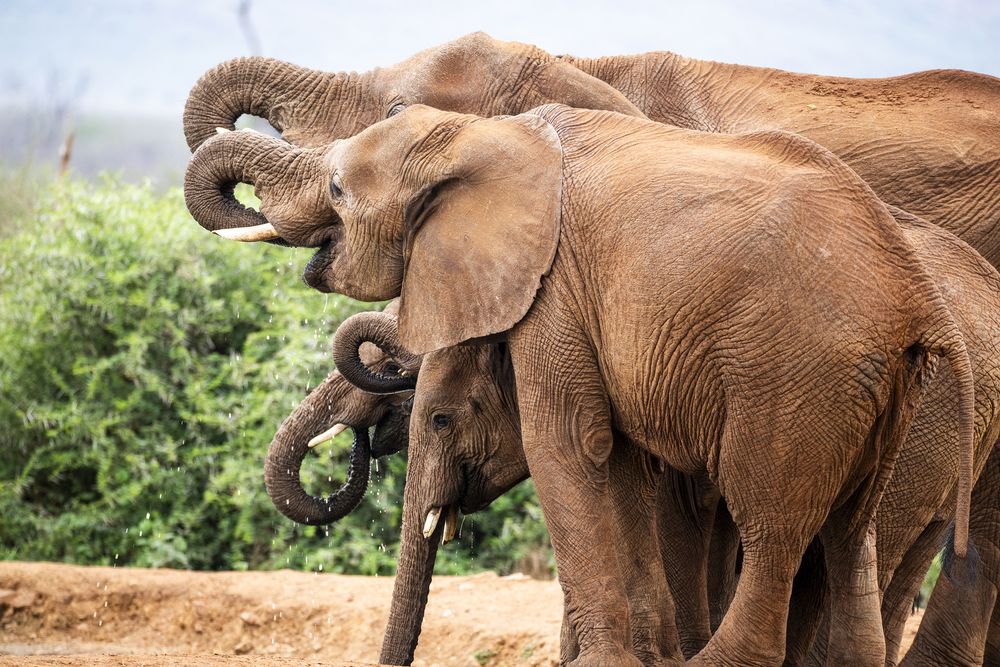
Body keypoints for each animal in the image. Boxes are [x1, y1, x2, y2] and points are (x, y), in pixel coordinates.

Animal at [186, 103, 978, 666]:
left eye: (337, 188)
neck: (482, 134)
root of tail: (917, 296)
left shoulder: (553, 289)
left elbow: (566, 444)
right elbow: (617, 457)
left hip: (798, 381)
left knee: (773, 530)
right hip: (886, 396)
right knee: (852, 538)